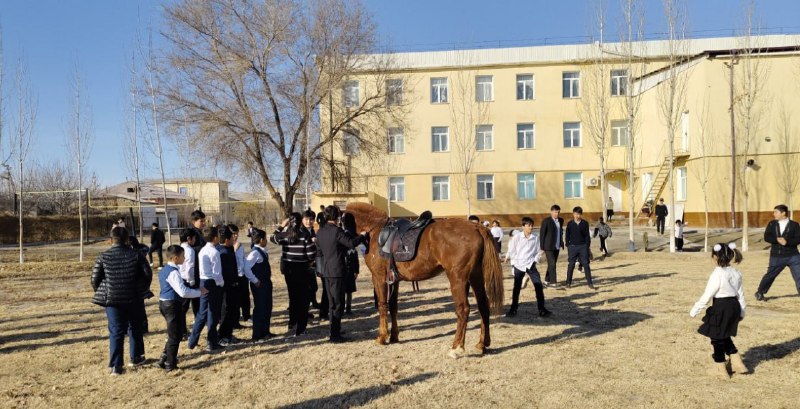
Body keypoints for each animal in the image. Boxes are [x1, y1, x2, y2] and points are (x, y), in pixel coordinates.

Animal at [346, 202, 504, 356]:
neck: (375, 230)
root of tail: (476, 227)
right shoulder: (394, 280)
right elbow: (393, 307)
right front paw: (394, 336)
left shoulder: (379, 278)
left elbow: (382, 305)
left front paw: (382, 337)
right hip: (475, 276)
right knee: (483, 305)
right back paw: (482, 344)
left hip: (457, 278)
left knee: (463, 310)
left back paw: (456, 348)